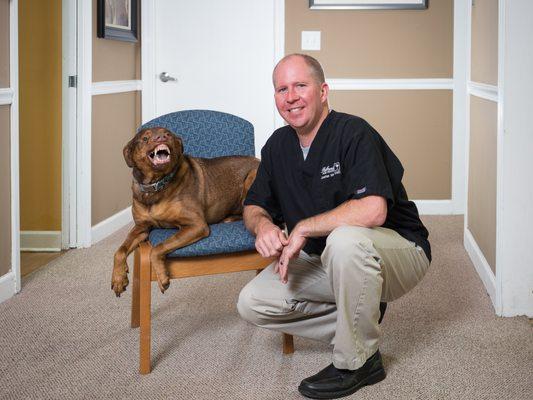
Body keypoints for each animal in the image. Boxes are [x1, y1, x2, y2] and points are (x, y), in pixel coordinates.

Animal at [112, 126, 260, 296]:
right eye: (145, 139)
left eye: (168, 133)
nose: (161, 137)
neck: (156, 185)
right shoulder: (141, 228)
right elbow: (120, 250)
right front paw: (118, 278)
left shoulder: (196, 225)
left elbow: (157, 248)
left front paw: (162, 276)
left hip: (251, 179)